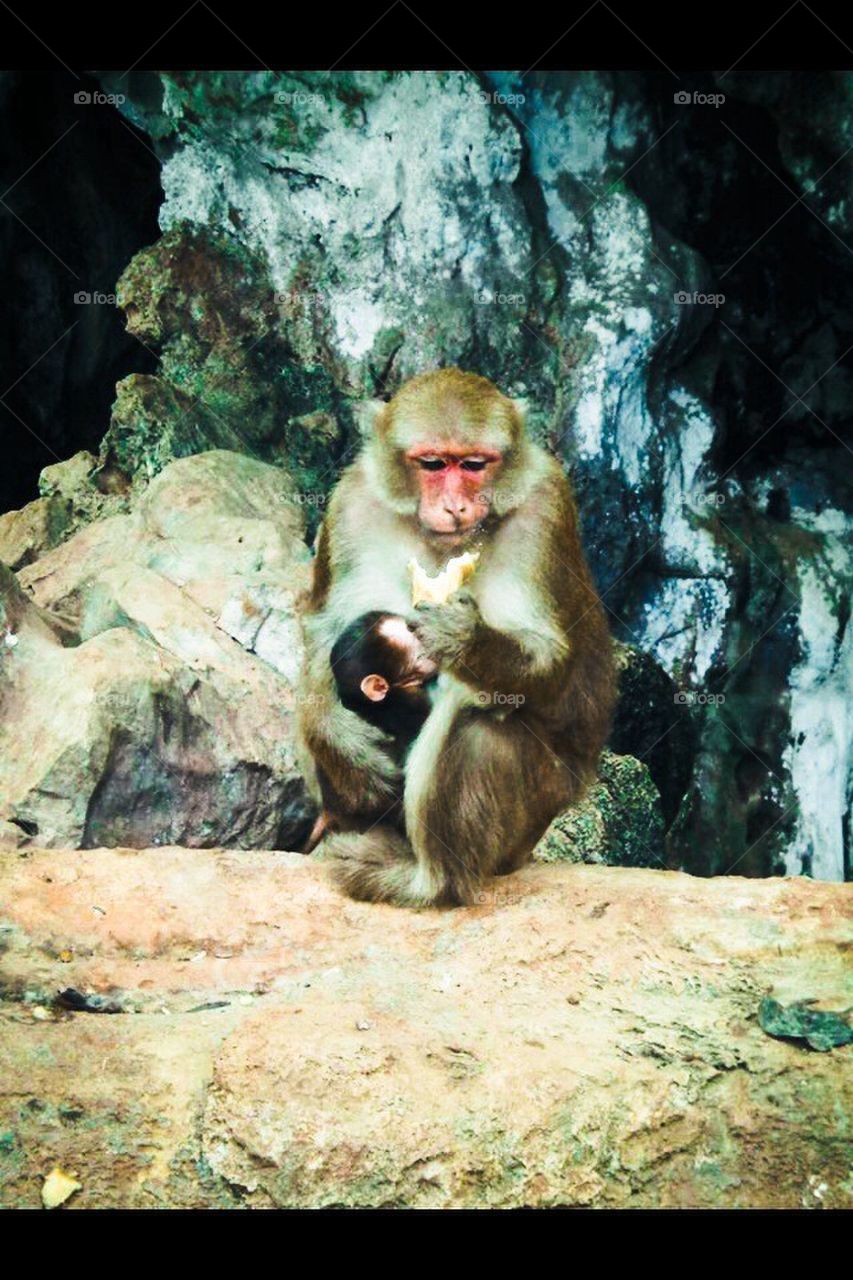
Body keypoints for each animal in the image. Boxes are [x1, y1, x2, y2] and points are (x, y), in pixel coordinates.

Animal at [297, 367, 615, 907]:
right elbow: (325, 628)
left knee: (478, 720)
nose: (455, 505)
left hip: (533, 816)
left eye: (473, 464)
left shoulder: (545, 510)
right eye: (432, 463)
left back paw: (432, 882)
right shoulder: (350, 504)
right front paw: (338, 738)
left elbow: (548, 657)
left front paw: (464, 637)